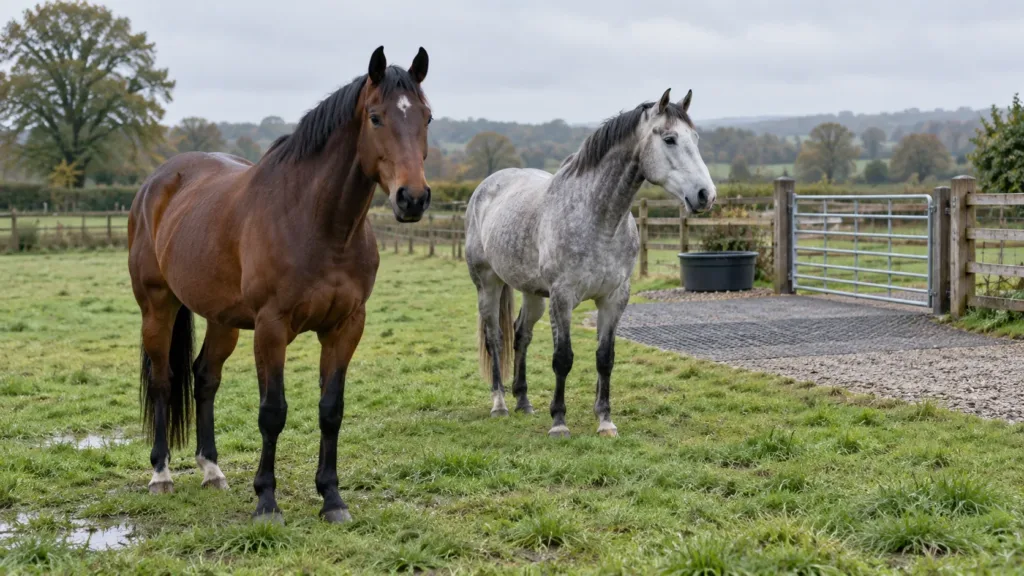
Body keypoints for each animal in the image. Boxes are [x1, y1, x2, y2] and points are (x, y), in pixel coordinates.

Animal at [127, 46, 432, 524]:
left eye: (427, 118)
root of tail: (157, 182)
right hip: (157, 306)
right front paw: (267, 502)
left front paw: (332, 498)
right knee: (163, 380)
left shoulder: (346, 326)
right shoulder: (271, 328)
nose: (412, 198)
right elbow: (273, 412)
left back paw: (211, 469)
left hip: (223, 320)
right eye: (376, 117)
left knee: (204, 378)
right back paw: (161, 474)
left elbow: (331, 410)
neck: (318, 223)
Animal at [464, 88, 716, 438]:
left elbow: (604, 357)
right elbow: (563, 358)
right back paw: (499, 404)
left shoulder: (614, 297)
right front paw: (559, 422)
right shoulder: (563, 297)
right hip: (488, 284)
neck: (598, 219)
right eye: (669, 139)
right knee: (495, 338)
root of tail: (487, 186)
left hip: (532, 293)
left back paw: (524, 402)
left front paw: (605, 421)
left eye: (695, 138)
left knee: (520, 335)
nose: (706, 195)